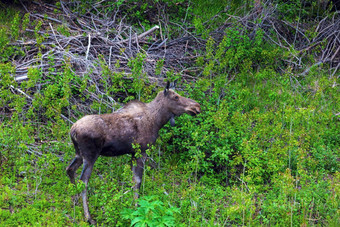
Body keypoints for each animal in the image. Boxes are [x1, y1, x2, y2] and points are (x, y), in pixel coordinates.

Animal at [65, 81, 201, 223]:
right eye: (176, 97)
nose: (197, 106)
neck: (158, 120)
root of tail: (73, 130)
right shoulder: (141, 151)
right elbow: (137, 181)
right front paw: (137, 206)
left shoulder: (132, 153)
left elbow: (132, 180)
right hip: (90, 155)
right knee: (83, 181)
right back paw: (88, 217)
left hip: (79, 154)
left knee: (70, 169)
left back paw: (75, 201)